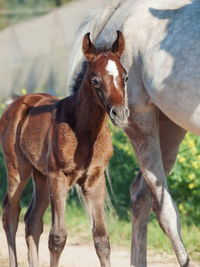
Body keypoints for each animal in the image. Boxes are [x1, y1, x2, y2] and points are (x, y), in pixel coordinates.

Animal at [0, 31, 129, 267]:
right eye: (95, 79)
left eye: (125, 77)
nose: (120, 114)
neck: (84, 134)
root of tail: (15, 102)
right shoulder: (58, 177)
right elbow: (57, 237)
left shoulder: (94, 180)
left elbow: (101, 239)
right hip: (18, 170)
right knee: (10, 212)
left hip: (40, 176)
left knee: (32, 221)